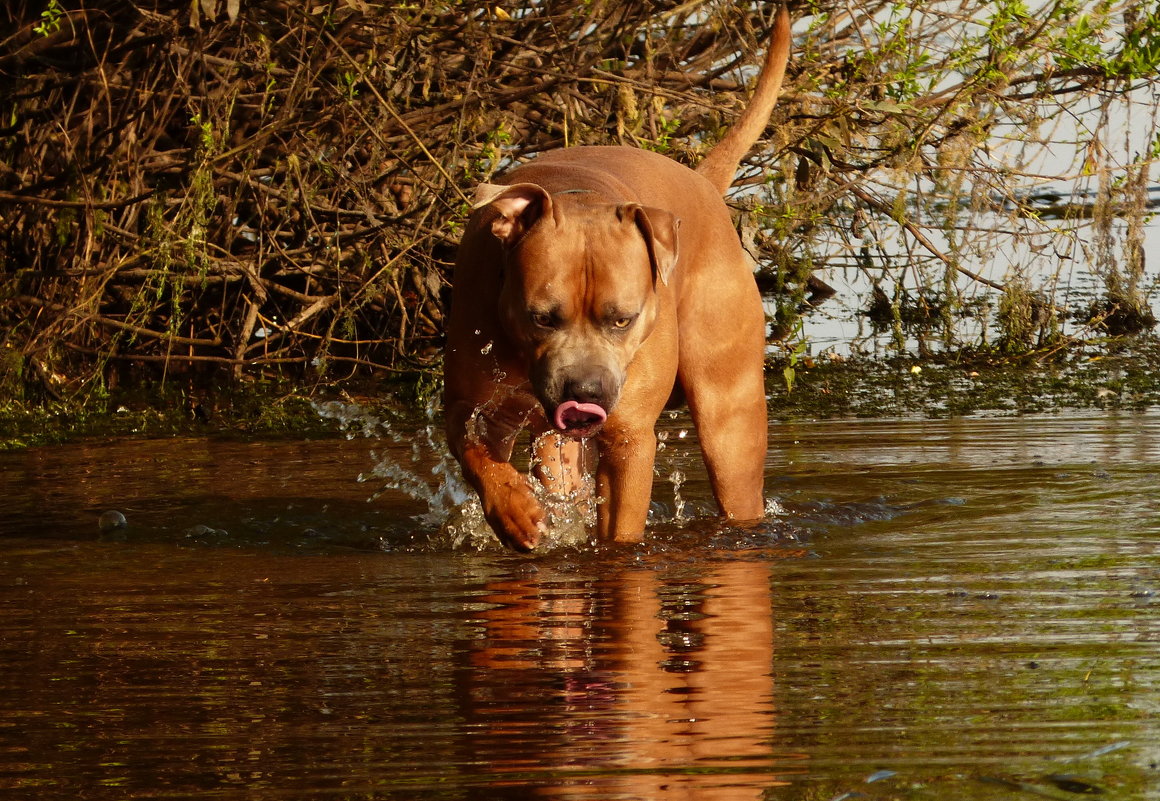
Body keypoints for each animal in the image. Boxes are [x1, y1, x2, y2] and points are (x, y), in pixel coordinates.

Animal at [438, 7, 793, 551]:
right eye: (541, 318)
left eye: (623, 320)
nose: (584, 390)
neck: (578, 197)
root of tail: (703, 182)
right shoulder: (470, 403)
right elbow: (477, 451)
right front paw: (515, 510)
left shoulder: (629, 440)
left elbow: (622, 528)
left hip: (729, 418)